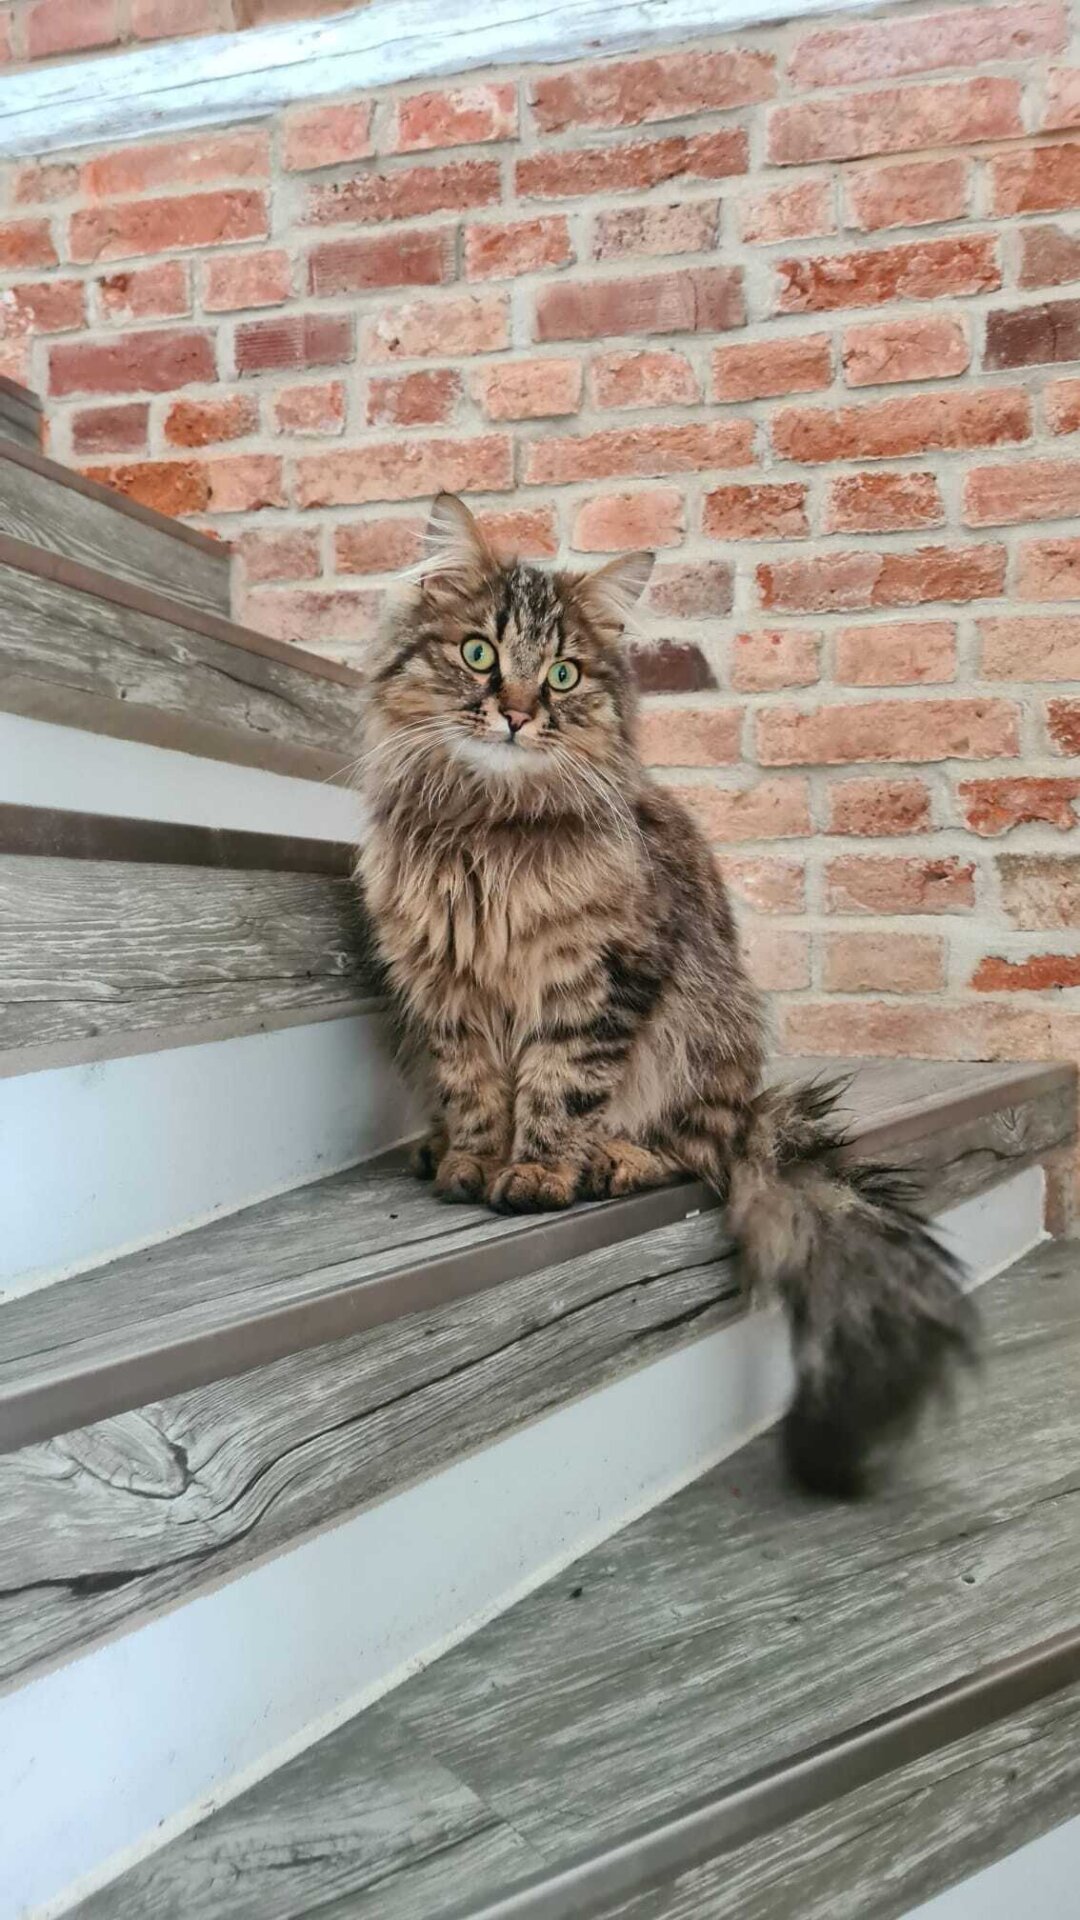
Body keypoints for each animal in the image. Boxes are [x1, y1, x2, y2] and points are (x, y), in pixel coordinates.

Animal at [357, 495, 972, 1497]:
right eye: (480, 653)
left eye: (562, 673)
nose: (517, 714)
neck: (489, 827)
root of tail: (757, 1102)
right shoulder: (444, 988)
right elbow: (480, 1091)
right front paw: (473, 1161)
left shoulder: (602, 975)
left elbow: (556, 1087)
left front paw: (536, 1171)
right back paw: (441, 1147)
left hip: (702, 1028)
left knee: (699, 1146)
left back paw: (615, 1159)